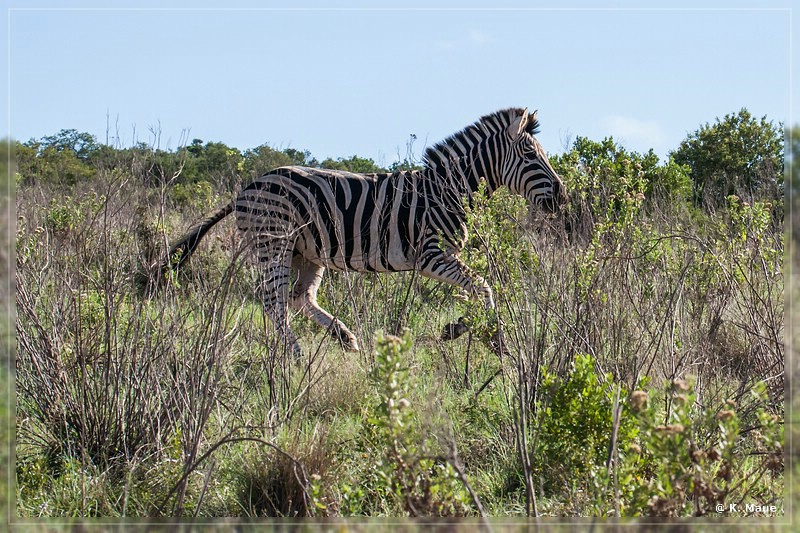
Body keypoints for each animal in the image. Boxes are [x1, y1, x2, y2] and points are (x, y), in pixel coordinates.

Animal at [164, 107, 568, 356]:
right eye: (531, 157)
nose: (563, 196)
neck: (447, 189)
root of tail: (247, 187)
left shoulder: (446, 257)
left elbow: (477, 291)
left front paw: (461, 328)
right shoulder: (431, 255)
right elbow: (484, 287)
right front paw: (488, 339)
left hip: (305, 251)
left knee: (298, 297)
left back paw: (344, 337)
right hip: (272, 242)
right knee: (272, 301)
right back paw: (294, 355)